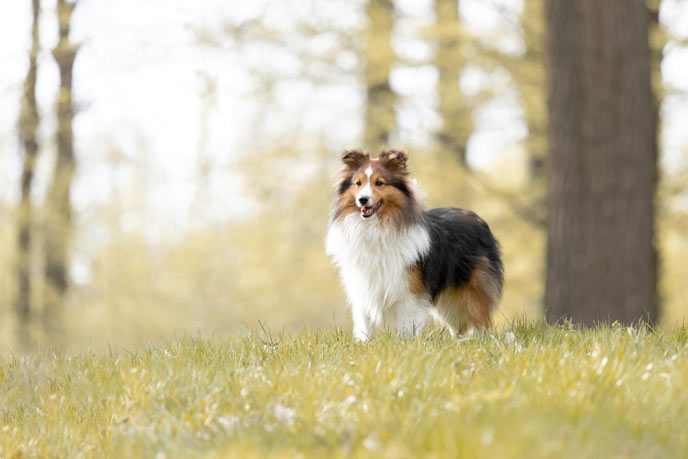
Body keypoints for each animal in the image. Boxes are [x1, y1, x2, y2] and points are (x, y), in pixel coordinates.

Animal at [326, 149, 502, 340]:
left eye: (379, 183)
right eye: (358, 183)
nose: (362, 200)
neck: (376, 228)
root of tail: (478, 219)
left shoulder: (409, 292)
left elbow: (406, 326)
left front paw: (404, 343)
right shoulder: (363, 286)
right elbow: (364, 324)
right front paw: (364, 343)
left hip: (473, 291)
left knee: (481, 322)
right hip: (448, 300)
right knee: (457, 325)